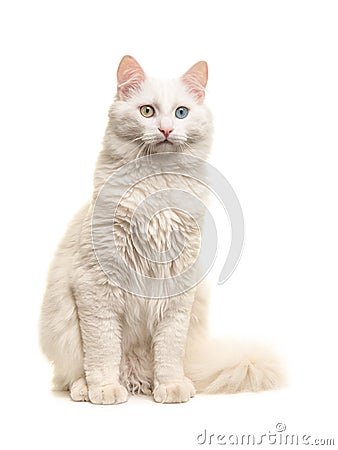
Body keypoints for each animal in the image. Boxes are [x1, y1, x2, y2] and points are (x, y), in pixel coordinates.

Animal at [38, 56, 284, 404]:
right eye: (147, 111)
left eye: (181, 112)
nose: (166, 129)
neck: (157, 187)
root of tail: (135, 377)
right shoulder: (96, 283)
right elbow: (102, 350)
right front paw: (105, 389)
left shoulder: (178, 286)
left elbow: (169, 349)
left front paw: (171, 387)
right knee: (71, 375)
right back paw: (89, 389)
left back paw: (170, 383)